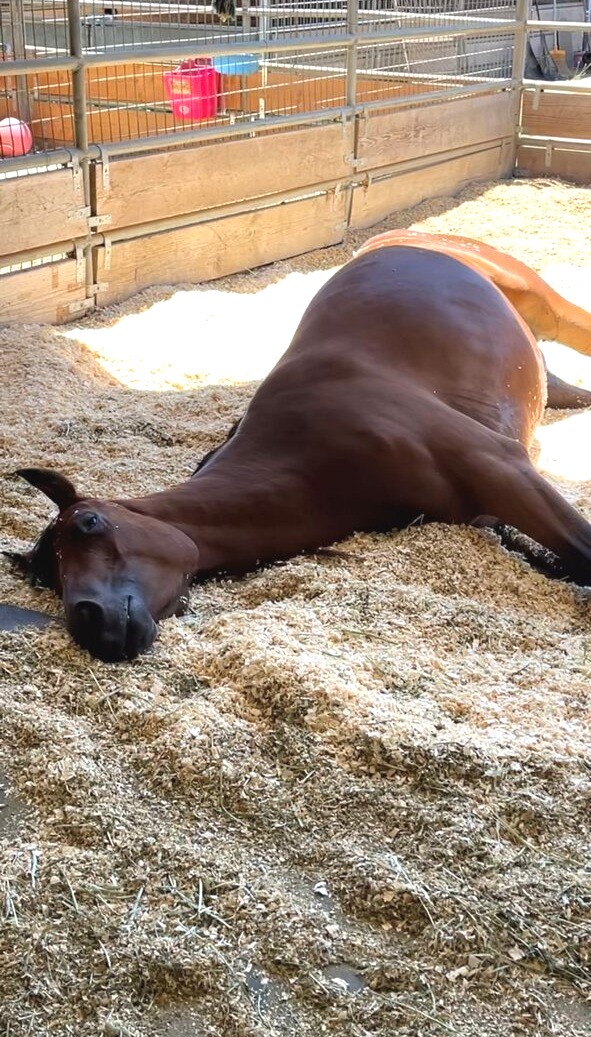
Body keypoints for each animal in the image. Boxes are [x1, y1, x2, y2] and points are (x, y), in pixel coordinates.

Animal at [7, 233, 591, 663]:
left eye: (90, 524)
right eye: (46, 577)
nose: (86, 619)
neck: (311, 454)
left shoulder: (500, 467)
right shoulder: (483, 514)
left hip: (546, 305)